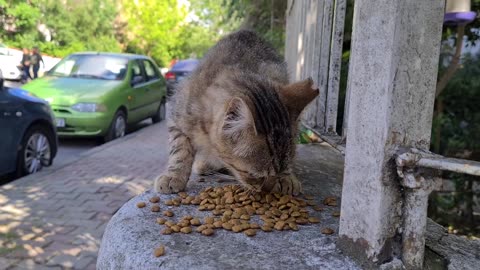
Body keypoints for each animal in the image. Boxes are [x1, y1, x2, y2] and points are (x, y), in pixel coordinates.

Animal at [155, 29, 318, 195]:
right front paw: (174, 175)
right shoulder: (176, 116)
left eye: (278, 173)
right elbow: (179, 150)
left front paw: (286, 177)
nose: (266, 191)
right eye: (256, 176)